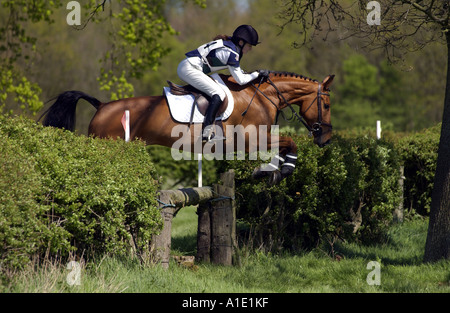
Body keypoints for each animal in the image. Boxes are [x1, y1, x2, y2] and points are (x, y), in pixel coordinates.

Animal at [40, 71, 334, 183]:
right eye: (327, 105)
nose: (327, 139)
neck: (261, 96)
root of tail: (101, 106)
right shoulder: (250, 140)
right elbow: (290, 144)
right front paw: (277, 171)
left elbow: (285, 146)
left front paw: (270, 172)